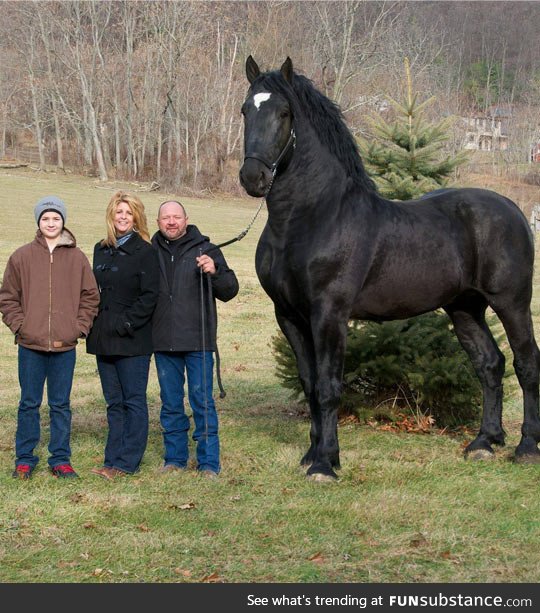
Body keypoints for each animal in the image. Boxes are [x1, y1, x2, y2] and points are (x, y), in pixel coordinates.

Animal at [239, 56, 540, 478]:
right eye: (245, 111)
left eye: (284, 113)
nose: (253, 177)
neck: (312, 217)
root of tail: (513, 209)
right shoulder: (289, 316)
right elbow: (310, 384)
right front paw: (313, 454)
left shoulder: (329, 314)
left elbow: (329, 387)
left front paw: (326, 464)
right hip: (465, 307)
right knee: (490, 364)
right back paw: (484, 443)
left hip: (511, 302)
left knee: (526, 363)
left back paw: (526, 446)